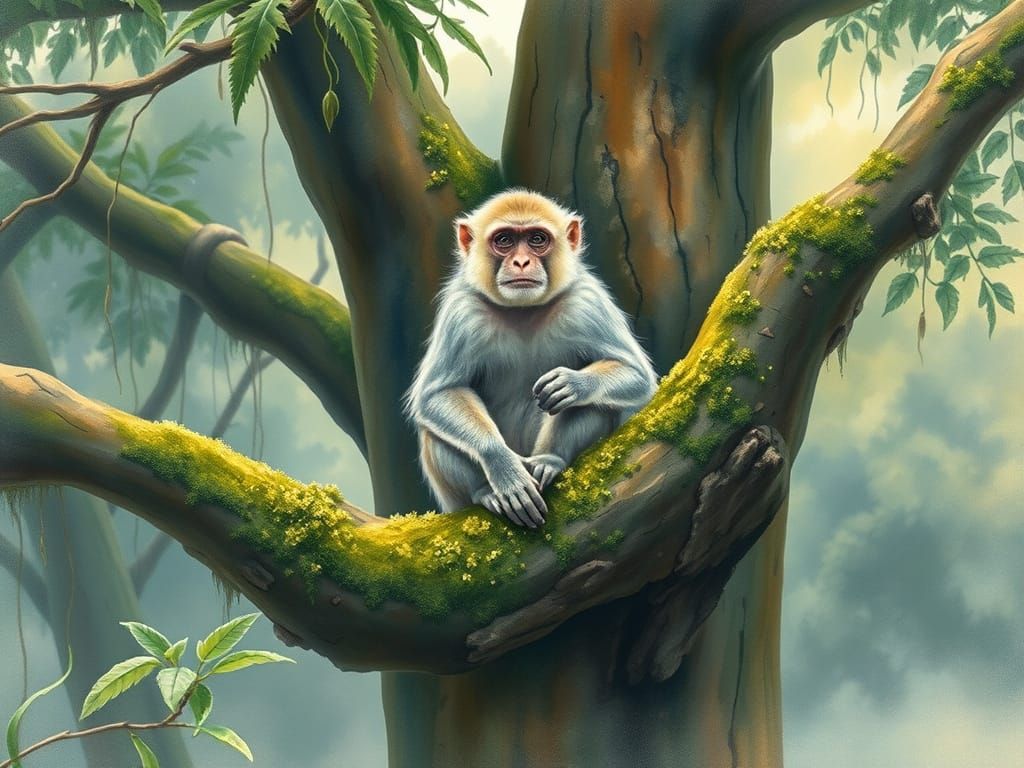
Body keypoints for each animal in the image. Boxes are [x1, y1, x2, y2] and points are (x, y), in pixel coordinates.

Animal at [405, 189, 658, 528]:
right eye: (505, 240)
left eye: (537, 239)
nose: (522, 261)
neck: (523, 312)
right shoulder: (461, 312)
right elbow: (438, 394)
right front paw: (503, 466)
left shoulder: (588, 301)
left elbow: (637, 376)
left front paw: (574, 384)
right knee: (435, 432)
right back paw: (486, 490)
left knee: (593, 403)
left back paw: (549, 460)